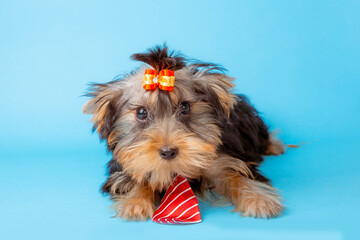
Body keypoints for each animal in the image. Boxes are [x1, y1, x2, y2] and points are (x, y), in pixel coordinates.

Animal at [83, 45, 286, 221]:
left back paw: (275, 146)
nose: (168, 152)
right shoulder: (128, 163)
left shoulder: (224, 159)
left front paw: (259, 200)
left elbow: (236, 173)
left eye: (185, 107)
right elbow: (138, 176)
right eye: (141, 113)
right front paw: (135, 203)